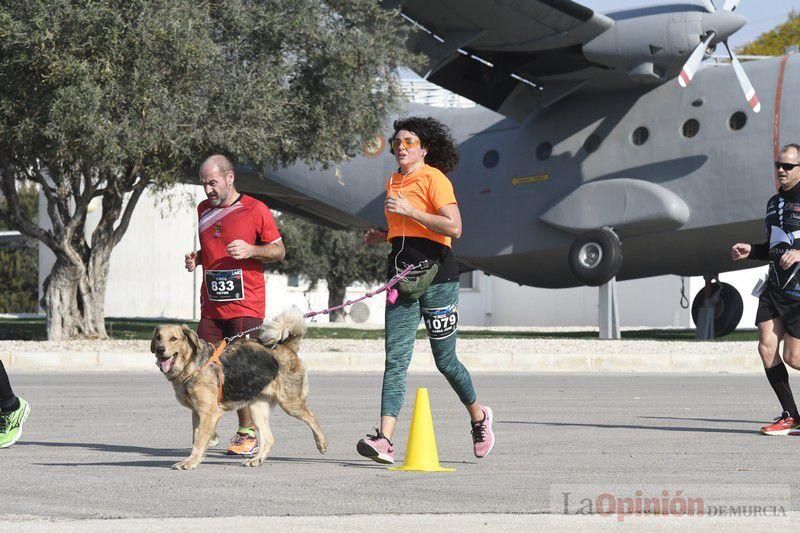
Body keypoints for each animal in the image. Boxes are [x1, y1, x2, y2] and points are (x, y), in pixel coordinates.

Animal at [148, 310, 326, 468]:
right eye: (158, 337)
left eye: (173, 339)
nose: (159, 350)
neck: (192, 365)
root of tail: (287, 346)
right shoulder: (197, 413)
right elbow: (196, 438)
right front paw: (197, 457)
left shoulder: (208, 412)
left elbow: (198, 442)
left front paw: (190, 462)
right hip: (257, 409)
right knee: (269, 439)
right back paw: (256, 460)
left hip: (290, 404)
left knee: (311, 417)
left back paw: (322, 443)